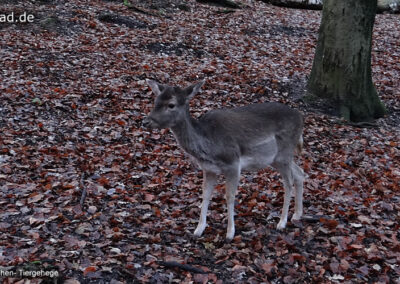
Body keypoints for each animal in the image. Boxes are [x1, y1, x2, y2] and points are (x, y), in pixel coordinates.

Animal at [143, 79, 304, 241]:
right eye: (156, 101)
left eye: (171, 104)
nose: (146, 122)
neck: (209, 145)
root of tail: (301, 119)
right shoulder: (209, 169)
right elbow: (205, 195)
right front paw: (198, 230)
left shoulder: (233, 163)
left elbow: (229, 196)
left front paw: (230, 233)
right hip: (276, 159)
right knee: (300, 172)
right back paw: (297, 215)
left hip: (284, 153)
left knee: (288, 182)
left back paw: (282, 222)